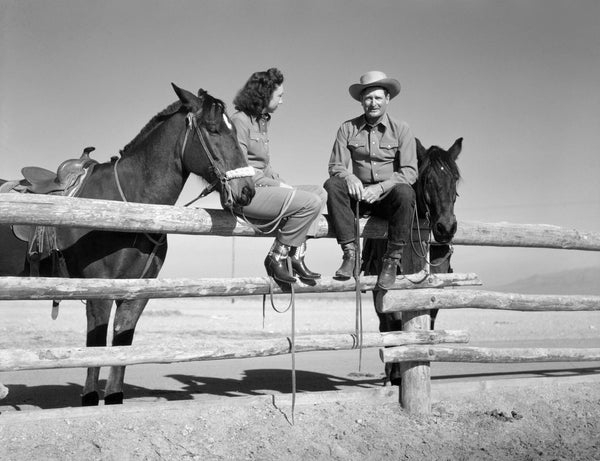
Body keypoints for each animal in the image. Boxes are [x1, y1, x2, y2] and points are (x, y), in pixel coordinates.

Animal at [0, 84, 255, 404]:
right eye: (213, 128)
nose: (247, 191)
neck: (131, 209)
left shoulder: (136, 294)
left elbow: (122, 350)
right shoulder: (99, 294)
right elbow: (96, 353)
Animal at [360, 137, 464, 384]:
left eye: (455, 178)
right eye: (426, 179)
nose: (446, 228)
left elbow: (430, 321)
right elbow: (395, 323)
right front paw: (397, 373)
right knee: (386, 325)